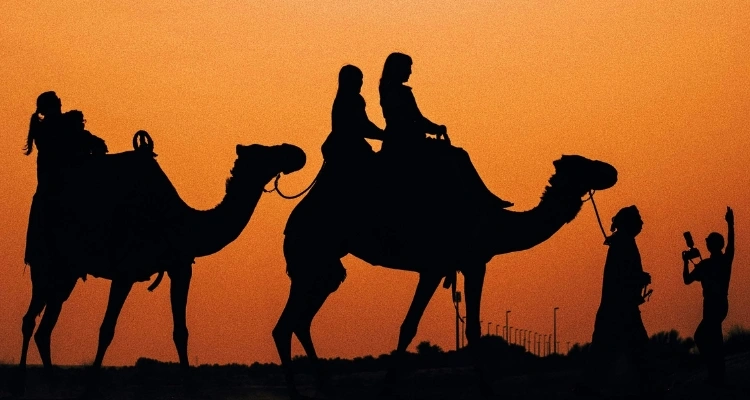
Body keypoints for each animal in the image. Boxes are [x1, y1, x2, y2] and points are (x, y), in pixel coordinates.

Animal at [13, 133, 306, 396]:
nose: (296, 152)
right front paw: (91, 390)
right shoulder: (125, 272)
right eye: (264, 151)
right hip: (44, 262)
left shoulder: (180, 268)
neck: (182, 223)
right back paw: (21, 386)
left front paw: (190, 391)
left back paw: (52, 387)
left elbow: (181, 332)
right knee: (30, 320)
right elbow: (106, 330)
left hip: (68, 273)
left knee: (44, 328)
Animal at [274, 142, 617, 399]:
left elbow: (462, 327)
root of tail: (295, 215)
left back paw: (322, 387)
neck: (494, 224)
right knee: (286, 324)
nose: (611, 171)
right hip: (311, 256)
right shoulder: (449, 265)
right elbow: (419, 327)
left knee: (300, 320)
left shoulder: (460, 265)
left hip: (325, 267)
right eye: (583, 165)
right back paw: (296, 392)